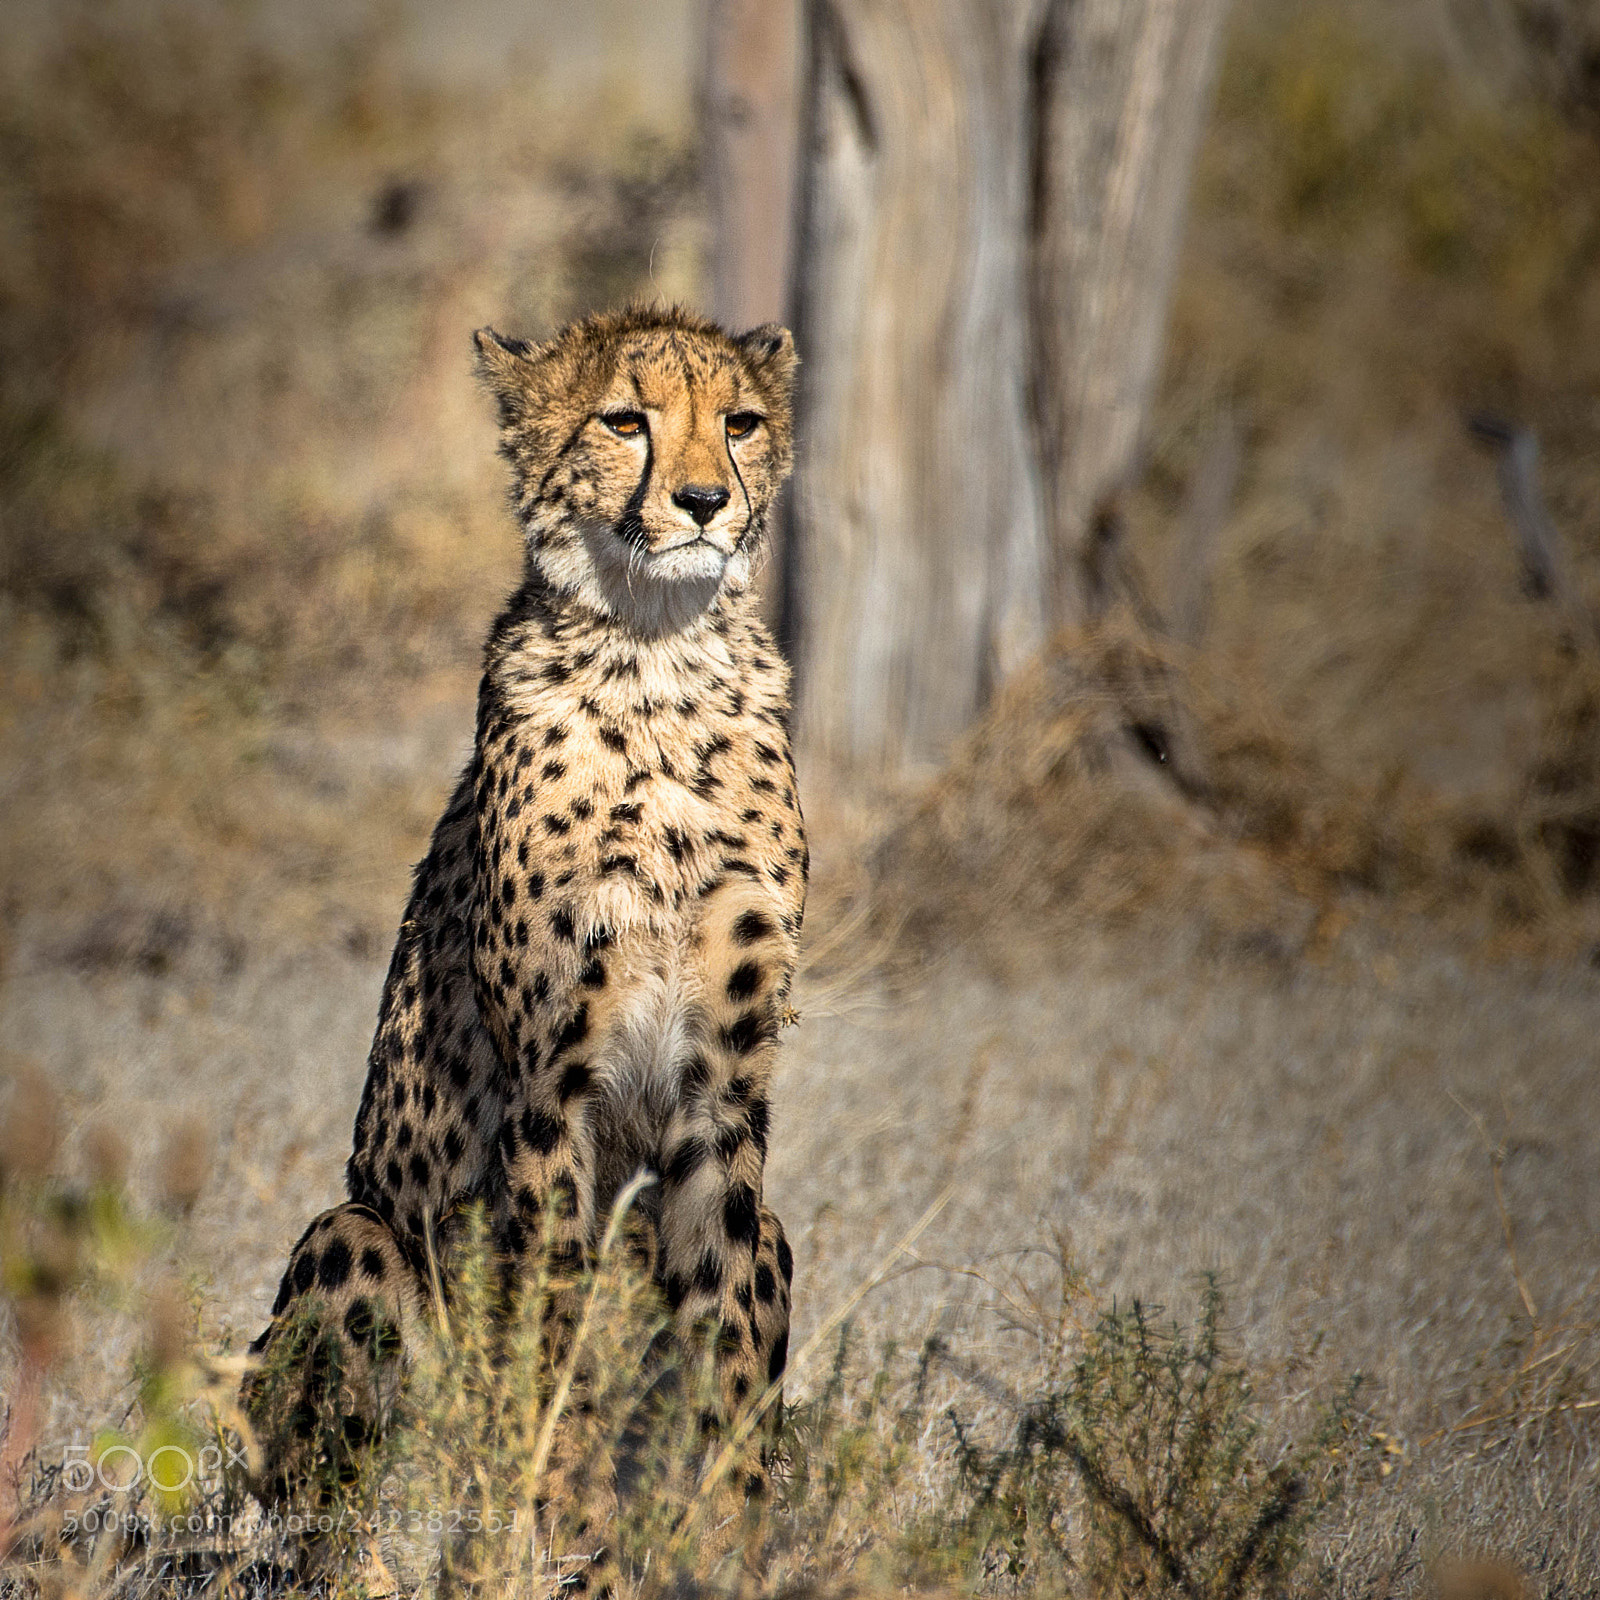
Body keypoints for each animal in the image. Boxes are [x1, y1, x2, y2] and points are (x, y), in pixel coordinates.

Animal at [242, 303, 805, 1566]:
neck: (660, 663)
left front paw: (725, 1526)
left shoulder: (725, 1083)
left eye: (739, 421)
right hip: (353, 1233)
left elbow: (720, 1311)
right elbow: (554, 1313)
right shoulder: (549, 1078)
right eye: (624, 419)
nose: (705, 500)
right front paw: (569, 1506)